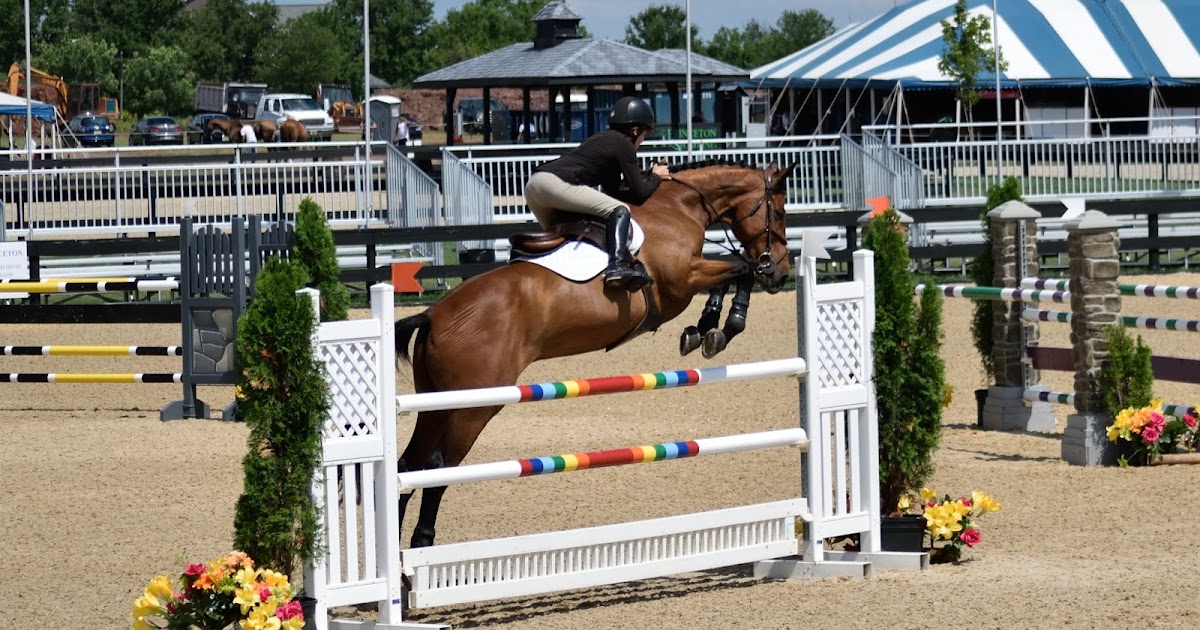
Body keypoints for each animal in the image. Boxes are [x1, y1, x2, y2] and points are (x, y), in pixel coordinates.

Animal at [392, 160, 797, 549]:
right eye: (779, 212)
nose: (780, 271)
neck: (678, 206)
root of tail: (434, 315)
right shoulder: (683, 278)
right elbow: (741, 269)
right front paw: (721, 327)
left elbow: (735, 272)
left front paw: (704, 329)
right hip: (473, 406)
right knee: (440, 466)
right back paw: (422, 541)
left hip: (435, 403)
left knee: (409, 464)